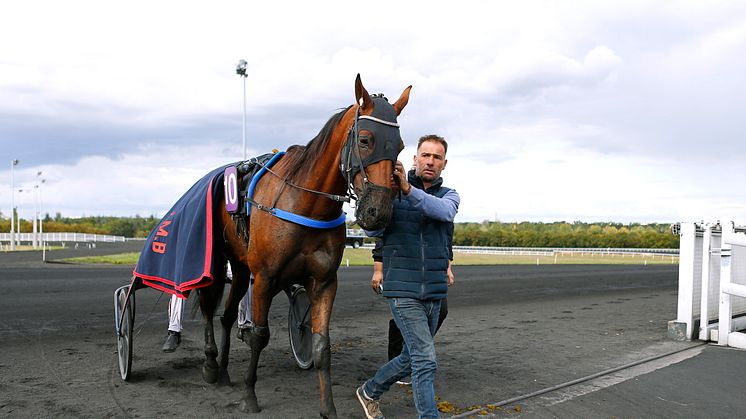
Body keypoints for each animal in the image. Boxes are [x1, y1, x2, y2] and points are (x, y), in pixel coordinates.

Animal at [195, 74, 410, 418]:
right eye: (365, 140)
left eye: (400, 146)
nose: (378, 211)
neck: (306, 204)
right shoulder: (265, 277)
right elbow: (259, 336)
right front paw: (249, 396)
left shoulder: (323, 281)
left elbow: (322, 346)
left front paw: (328, 408)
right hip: (217, 260)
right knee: (208, 307)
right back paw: (211, 365)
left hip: (241, 268)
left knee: (227, 316)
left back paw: (226, 371)